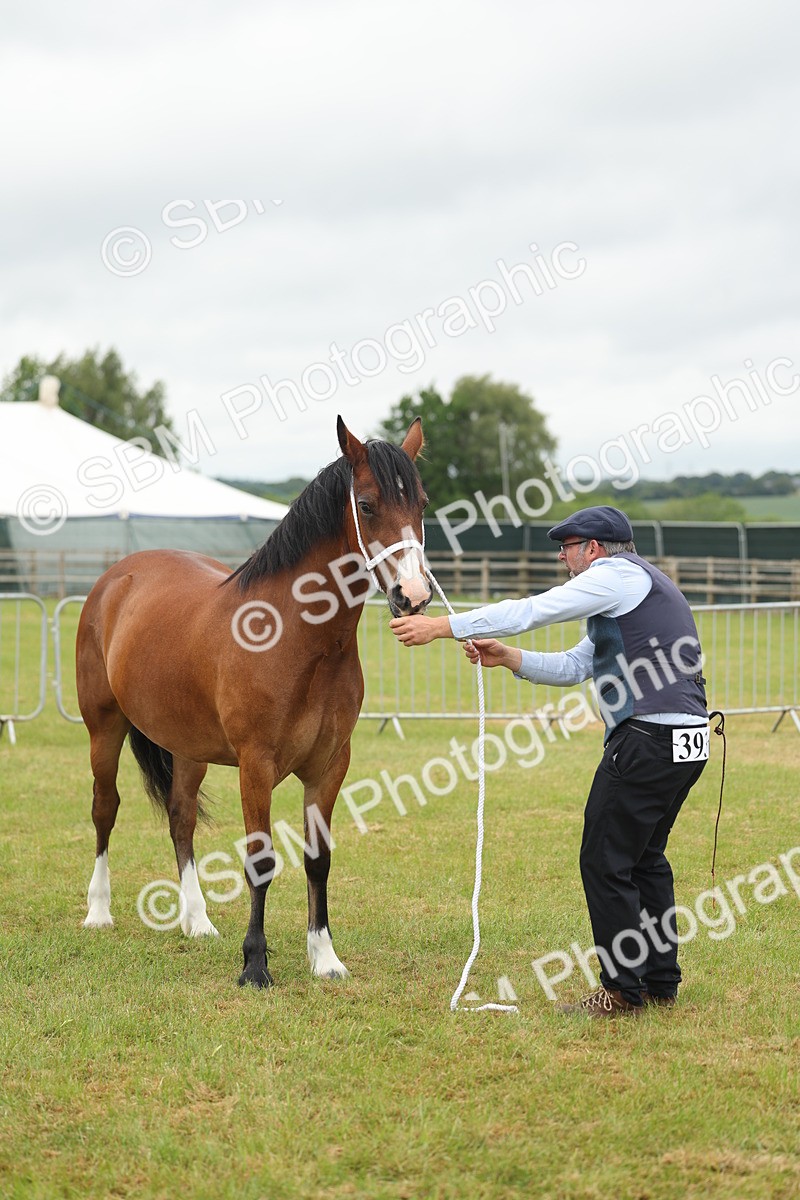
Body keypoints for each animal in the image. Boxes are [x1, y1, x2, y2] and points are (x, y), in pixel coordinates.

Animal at [76, 416, 431, 987]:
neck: (297, 636)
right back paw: (98, 911)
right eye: (368, 503)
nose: (414, 595)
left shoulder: (330, 766)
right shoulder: (255, 765)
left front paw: (324, 957)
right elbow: (260, 862)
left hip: (189, 748)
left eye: (420, 503)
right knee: (104, 809)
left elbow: (318, 859)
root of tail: (118, 576)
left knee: (181, 818)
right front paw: (255, 964)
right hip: (103, 728)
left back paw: (197, 921)